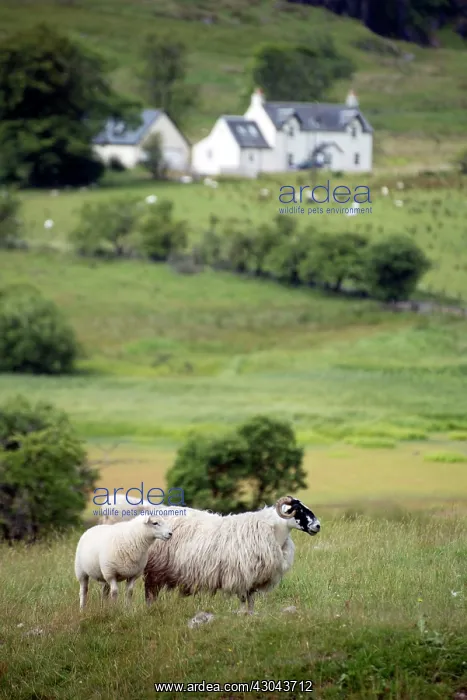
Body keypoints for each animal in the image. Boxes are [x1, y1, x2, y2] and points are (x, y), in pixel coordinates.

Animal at [144, 495, 320, 614]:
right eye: (298, 510)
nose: (318, 526)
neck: (274, 531)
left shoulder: (253, 578)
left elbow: (251, 599)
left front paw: (250, 615)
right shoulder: (240, 574)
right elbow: (242, 599)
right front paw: (242, 615)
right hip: (154, 569)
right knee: (150, 592)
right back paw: (150, 610)